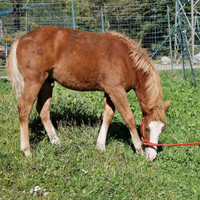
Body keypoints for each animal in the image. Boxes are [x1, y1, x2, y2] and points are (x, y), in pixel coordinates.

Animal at [6, 26, 170, 161]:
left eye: (162, 129)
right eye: (147, 128)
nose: (151, 157)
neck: (127, 58)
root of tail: (20, 39)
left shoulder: (110, 92)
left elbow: (108, 116)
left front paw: (100, 146)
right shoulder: (116, 91)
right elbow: (129, 117)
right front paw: (138, 149)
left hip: (47, 82)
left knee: (43, 110)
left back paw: (57, 143)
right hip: (34, 81)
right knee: (24, 109)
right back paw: (26, 151)